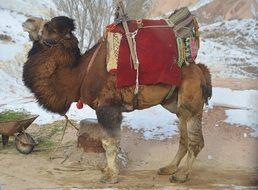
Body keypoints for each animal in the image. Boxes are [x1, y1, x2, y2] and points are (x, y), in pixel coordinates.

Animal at [22, 16, 212, 184]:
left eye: (50, 28)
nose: (27, 21)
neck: (79, 74)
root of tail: (200, 70)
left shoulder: (108, 107)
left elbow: (108, 143)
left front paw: (111, 176)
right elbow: (111, 142)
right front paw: (108, 171)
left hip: (191, 100)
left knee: (196, 140)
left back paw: (181, 175)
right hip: (175, 103)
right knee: (184, 137)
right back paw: (169, 168)